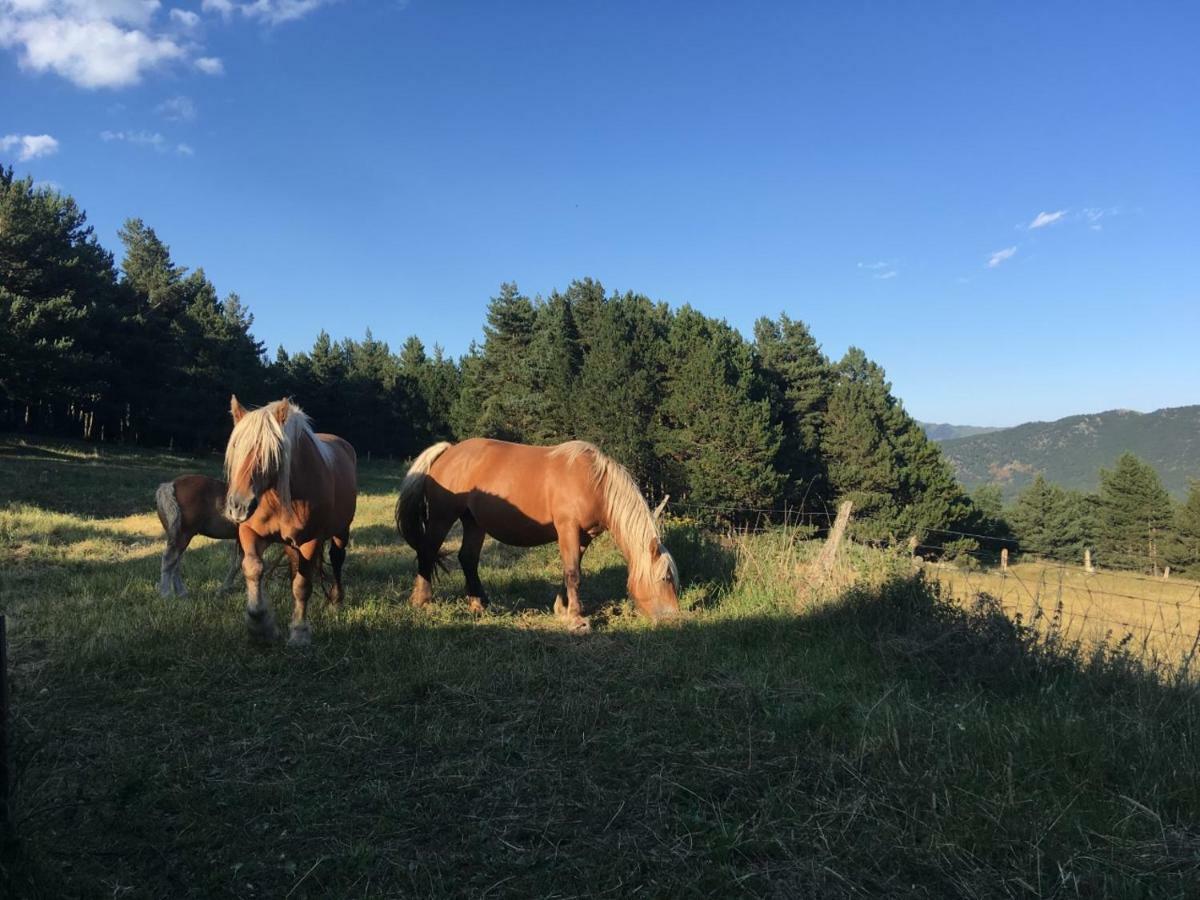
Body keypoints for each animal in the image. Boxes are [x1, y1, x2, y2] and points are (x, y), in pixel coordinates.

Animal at [156, 472, 242, 600]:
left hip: (177, 537)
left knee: (176, 563)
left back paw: (181, 593)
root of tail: (169, 486)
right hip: (183, 535)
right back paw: (166, 595)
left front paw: (224, 588)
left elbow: (237, 563)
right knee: (169, 560)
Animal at [223, 398, 355, 643]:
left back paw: (336, 601)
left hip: (341, 531)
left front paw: (299, 632)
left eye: (270, 452)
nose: (238, 506)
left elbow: (302, 585)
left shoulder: (311, 540)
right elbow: (253, 568)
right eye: (236, 446)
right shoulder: (250, 533)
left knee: (337, 559)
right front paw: (259, 623)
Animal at [393, 439, 676, 633]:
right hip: (442, 518)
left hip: (474, 522)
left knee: (468, 559)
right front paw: (577, 620)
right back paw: (422, 601)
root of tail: (449, 451)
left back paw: (479, 605)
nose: (674, 619)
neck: (595, 482)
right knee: (427, 551)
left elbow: (569, 572)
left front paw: (562, 609)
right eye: (665, 578)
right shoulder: (567, 529)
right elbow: (573, 573)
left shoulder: (584, 537)